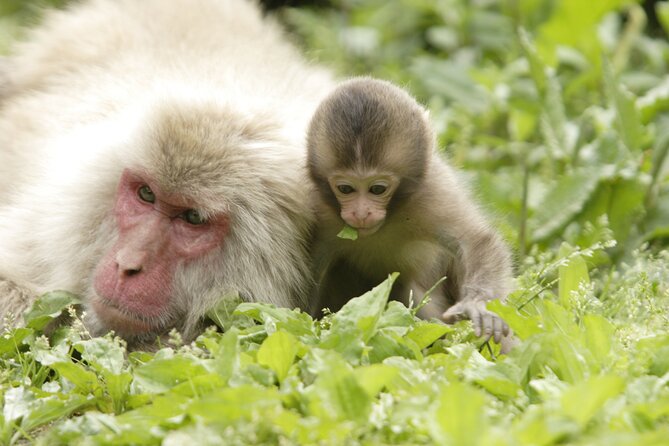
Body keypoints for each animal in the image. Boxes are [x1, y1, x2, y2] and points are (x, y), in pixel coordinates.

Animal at [306, 77, 512, 344]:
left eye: (377, 189)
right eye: (345, 188)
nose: (361, 213)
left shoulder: (432, 196)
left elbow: (476, 242)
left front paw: (476, 304)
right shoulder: (317, 207)